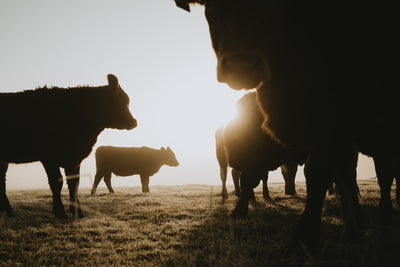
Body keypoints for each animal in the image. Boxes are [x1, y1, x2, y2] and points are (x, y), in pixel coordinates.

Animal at [174, 0, 400, 251]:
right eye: (211, 8)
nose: (241, 64)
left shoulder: (334, 131)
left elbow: (327, 175)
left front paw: (308, 236)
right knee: (229, 176)